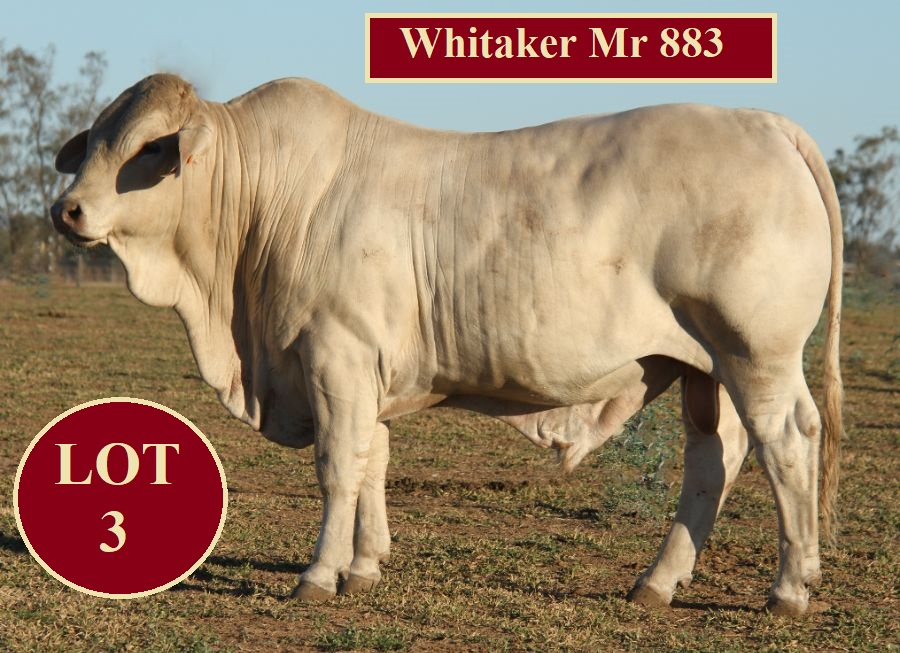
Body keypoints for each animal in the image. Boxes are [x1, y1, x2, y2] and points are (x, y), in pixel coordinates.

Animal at [51, 74, 843, 616]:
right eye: (94, 142)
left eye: (150, 148)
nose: (68, 210)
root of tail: (765, 123)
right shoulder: (362, 370)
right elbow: (371, 461)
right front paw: (364, 566)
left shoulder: (335, 355)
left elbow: (337, 468)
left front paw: (318, 575)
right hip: (706, 366)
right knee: (715, 458)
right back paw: (660, 581)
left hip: (755, 354)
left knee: (787, 444)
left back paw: (788, 588)